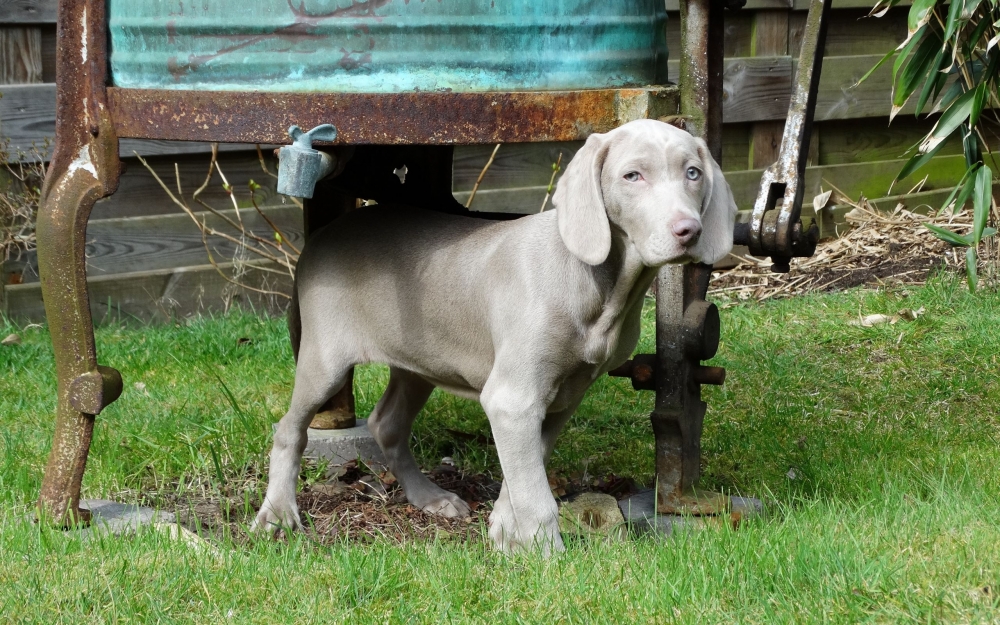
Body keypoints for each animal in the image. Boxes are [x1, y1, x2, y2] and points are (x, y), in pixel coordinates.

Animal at [254, 117, 740, 552]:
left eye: (692, 173)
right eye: (632, 176)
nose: (689, 231)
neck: (601, 287)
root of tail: (319, 239)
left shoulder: (563, 397)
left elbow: (525, 472)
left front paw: (506, 535)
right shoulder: (514, 398)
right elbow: (537, 496)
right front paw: (548, 559)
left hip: (421, 358)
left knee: (387, 424)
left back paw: (430, 498)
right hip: (325, 361)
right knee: (289, 430)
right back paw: (277, 514)